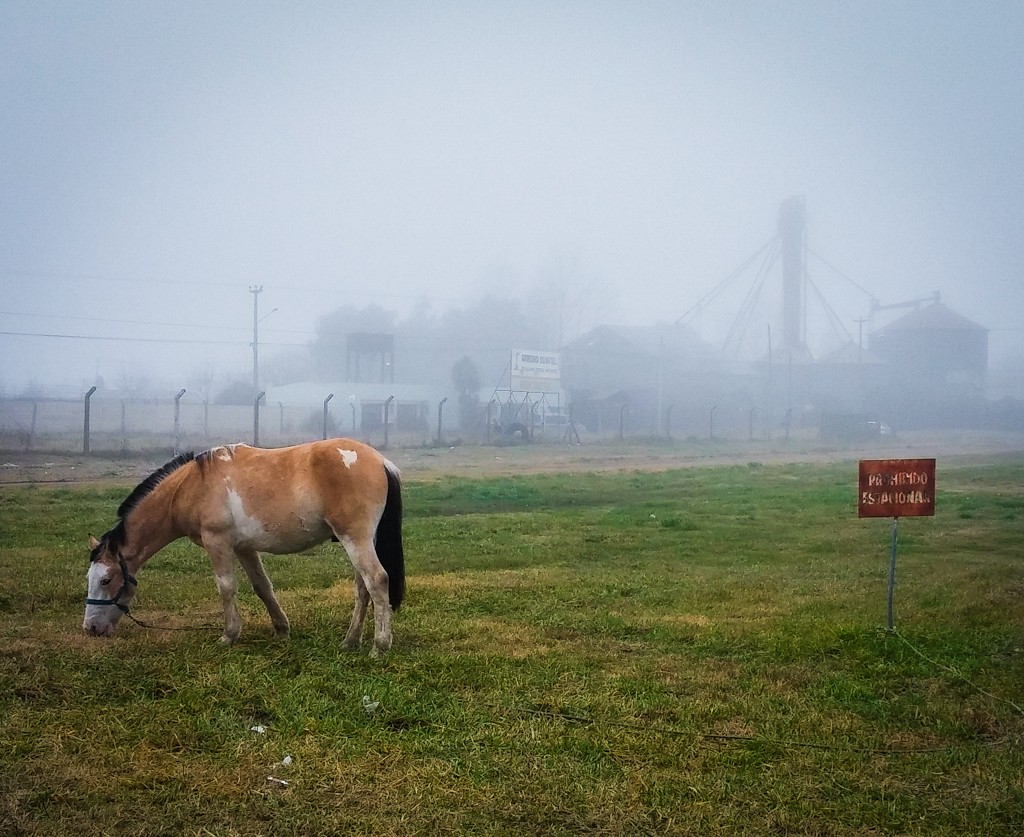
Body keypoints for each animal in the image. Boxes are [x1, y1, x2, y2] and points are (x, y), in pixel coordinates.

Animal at [82, 438, 403, 651]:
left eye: (106, 580)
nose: (91, 628)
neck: (191, 485)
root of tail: (380, 460)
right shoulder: (244, 548)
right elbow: (262, 587)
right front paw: (281, 629)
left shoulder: (218, 542)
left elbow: (226, 587)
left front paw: (229, 634)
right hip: (359, 541)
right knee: (363, 588)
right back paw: (350, 641)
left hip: (355, 539)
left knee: (376, 580)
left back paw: (379, 645)